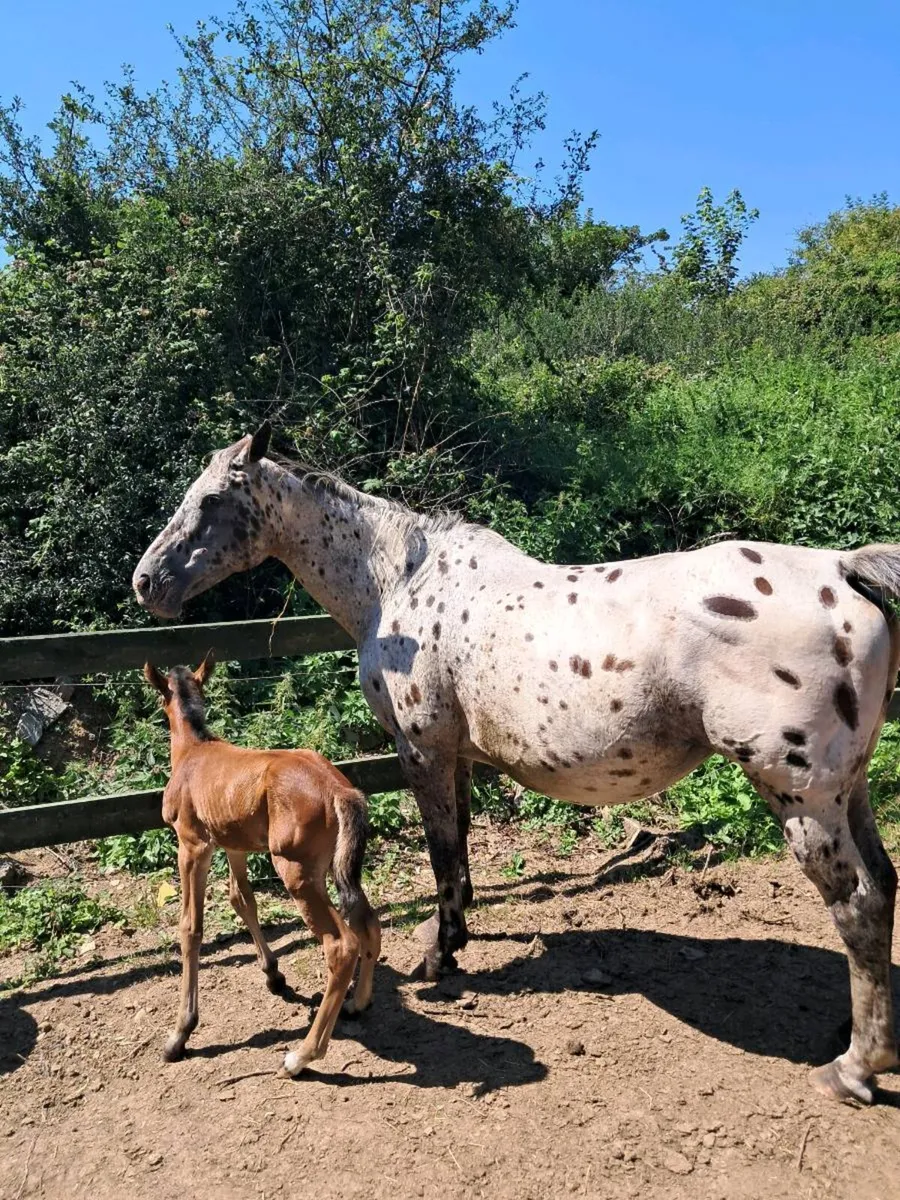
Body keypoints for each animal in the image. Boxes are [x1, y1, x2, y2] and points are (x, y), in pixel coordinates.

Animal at [144, 655, 381, 1075]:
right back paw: (357, 1002)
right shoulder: (232, 844)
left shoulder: (192, 846)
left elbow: (190, 928)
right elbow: (242, 900)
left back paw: (301, 1056)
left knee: (341, 945)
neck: (193, 752)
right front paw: (273, 975)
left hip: (297, 872)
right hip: (337, 869)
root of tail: (338, 789)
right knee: (367, 921)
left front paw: (180, 1033)